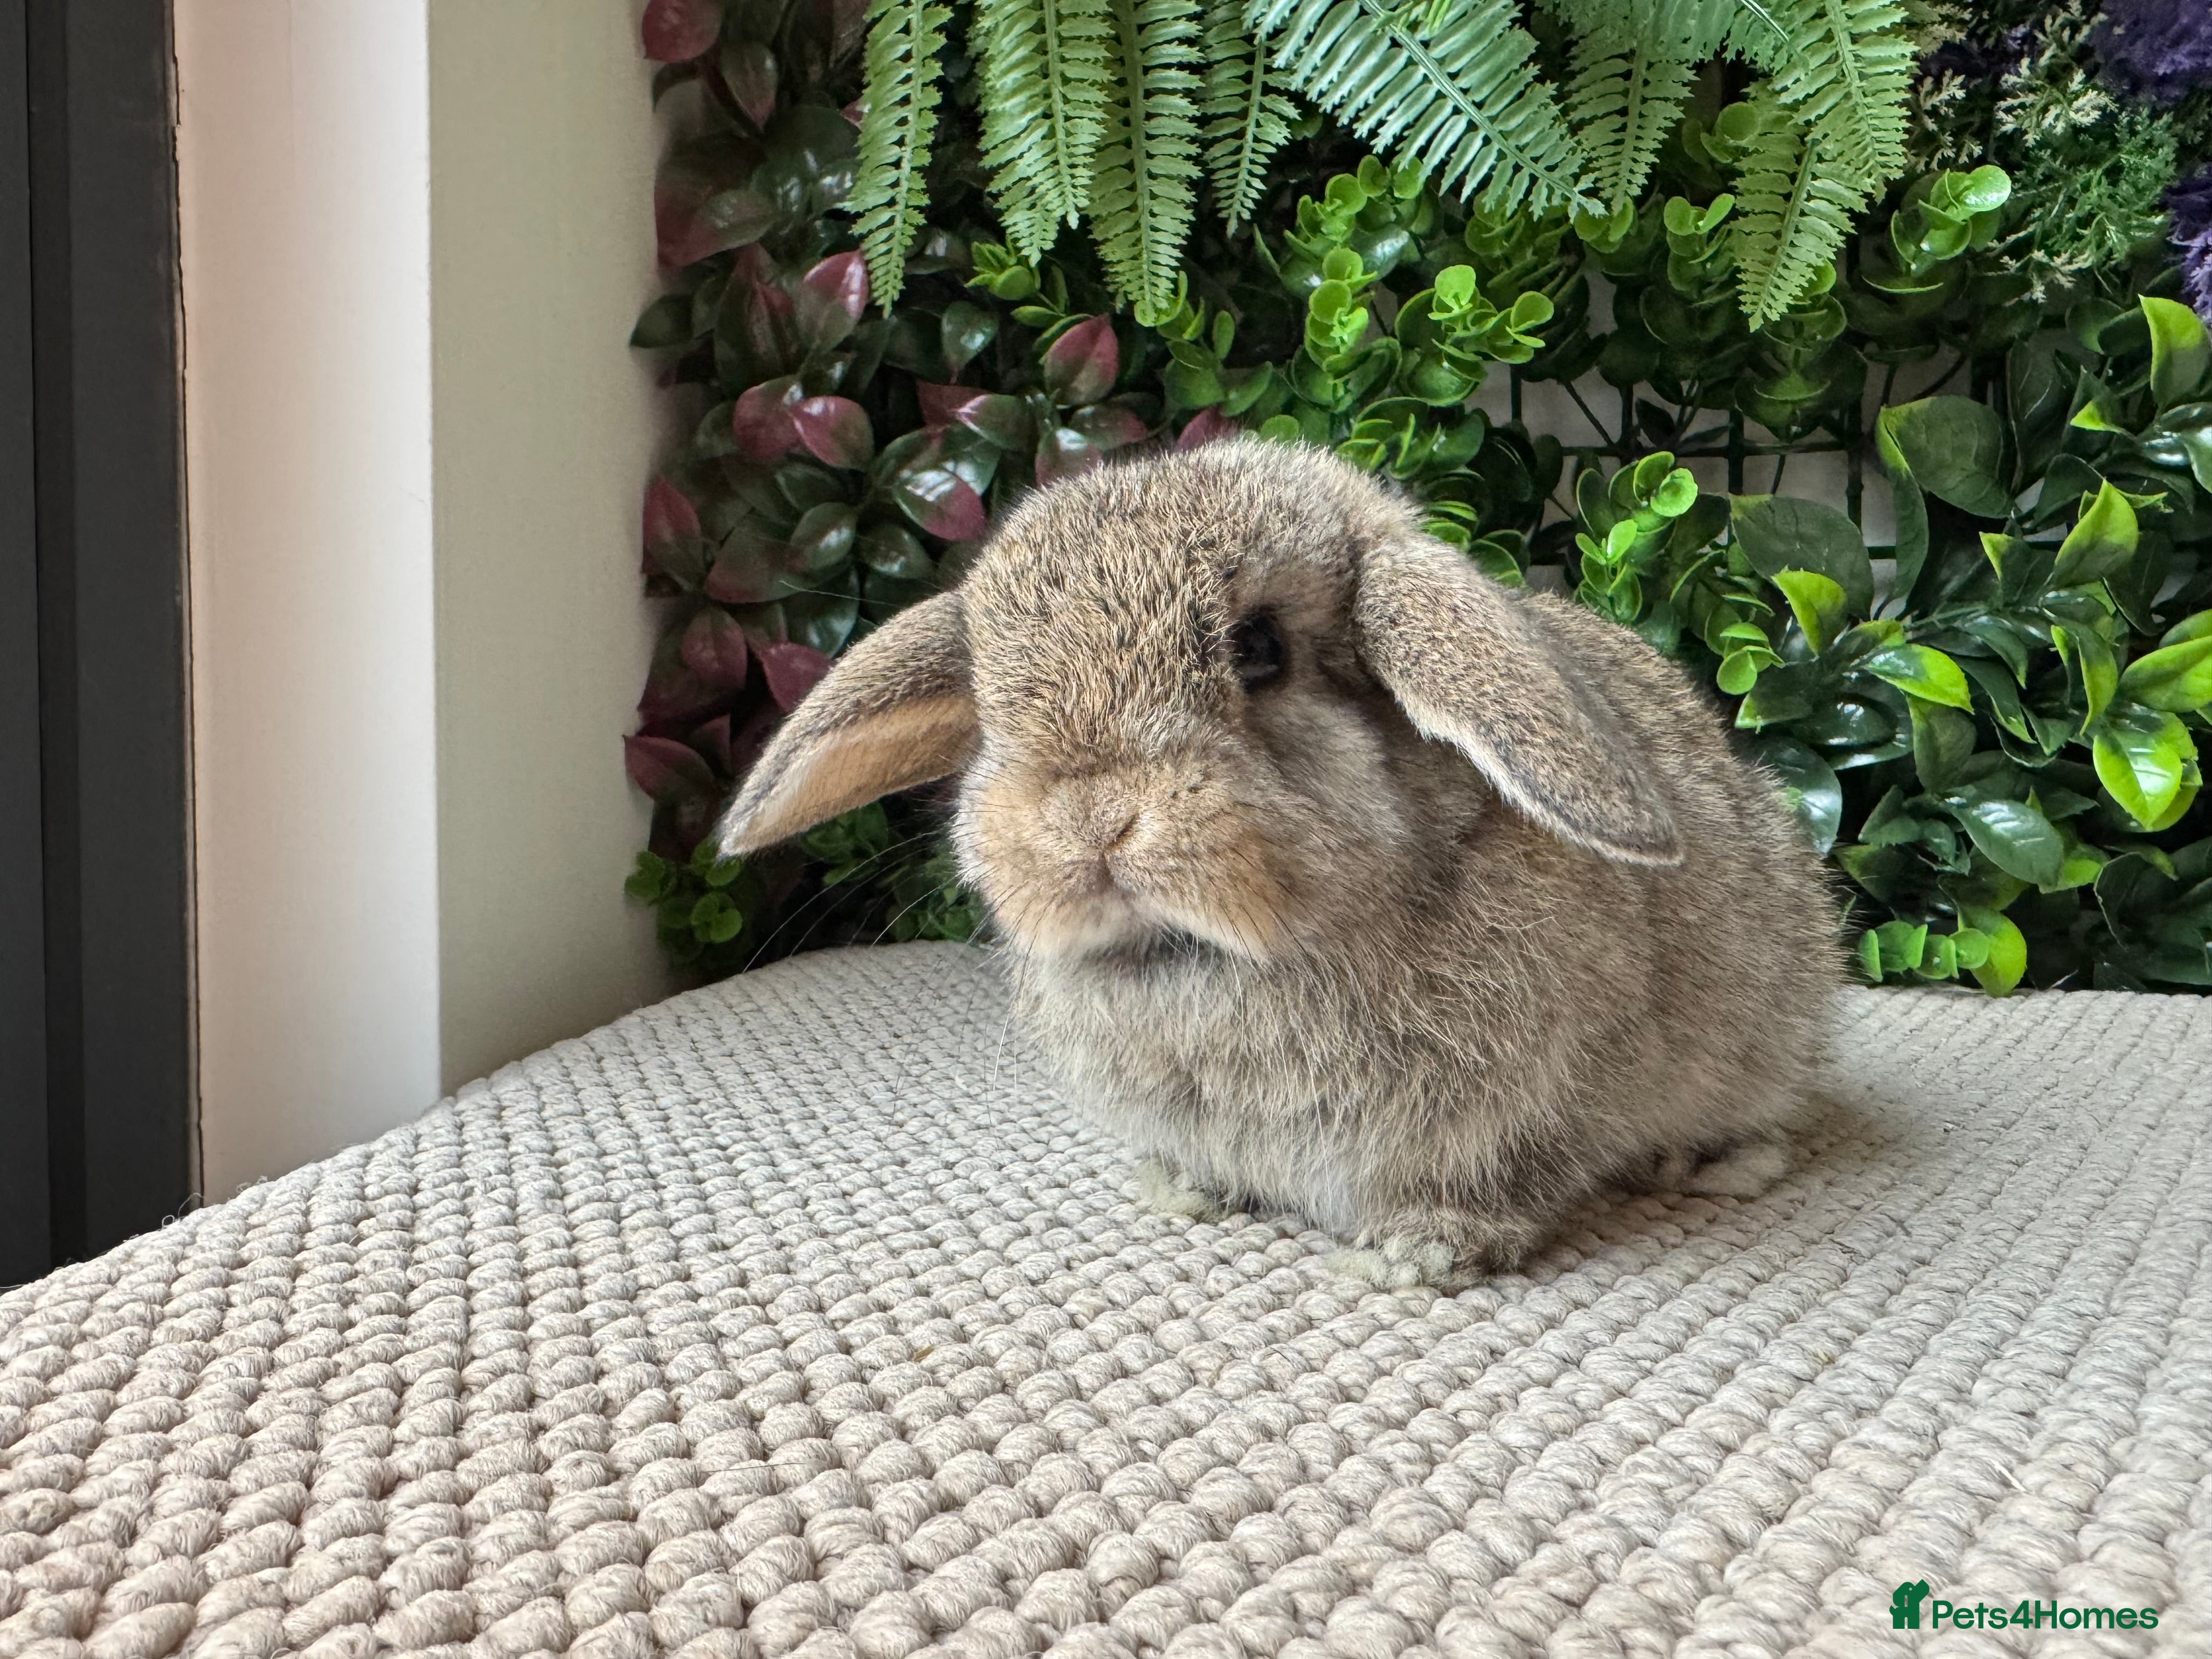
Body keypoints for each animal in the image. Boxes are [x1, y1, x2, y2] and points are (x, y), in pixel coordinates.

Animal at [712, 436, 1842, 1287]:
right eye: (992, 701)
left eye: (1259, 649)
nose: (1090, 821)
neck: (1219, 960)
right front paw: (1179, 1189)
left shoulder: (1539, 1111)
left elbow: (1498, 1190)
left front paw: (1413, 1257)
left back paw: (1714, 1162)